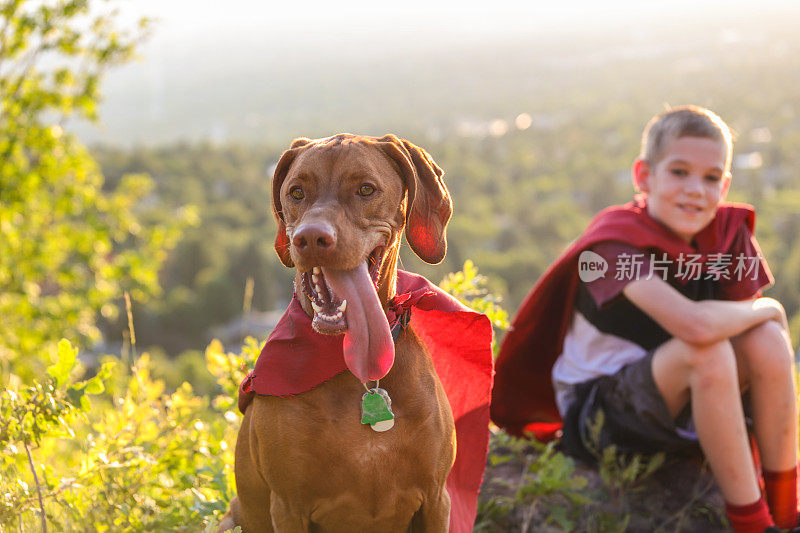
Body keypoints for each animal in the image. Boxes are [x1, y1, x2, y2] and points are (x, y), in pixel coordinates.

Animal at [222, 134, 460, 532]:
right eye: (297, 192)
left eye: (365, 189)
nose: (311, 238)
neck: (354, 370)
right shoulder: (288, 507)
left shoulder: (436, 499)